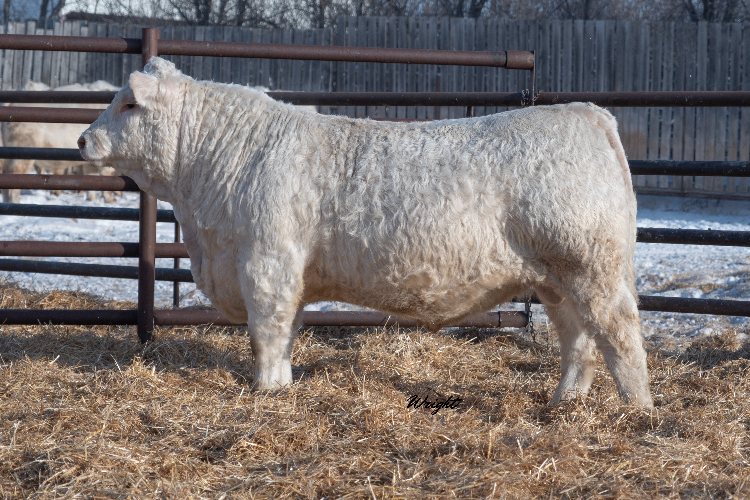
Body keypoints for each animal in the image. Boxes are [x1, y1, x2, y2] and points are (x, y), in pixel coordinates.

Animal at [78, 57, 653, 407]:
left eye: (129, 103)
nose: (82, 139)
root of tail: (585, 113)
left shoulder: (266, 266)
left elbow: (267, 334)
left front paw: (265, 392)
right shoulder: (289, 276)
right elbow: (287, 334)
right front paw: (282, 388)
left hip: (591, 267)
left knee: (620, 336)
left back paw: (638, 411)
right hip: (557, 279)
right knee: (578, 340)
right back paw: (564, 403)